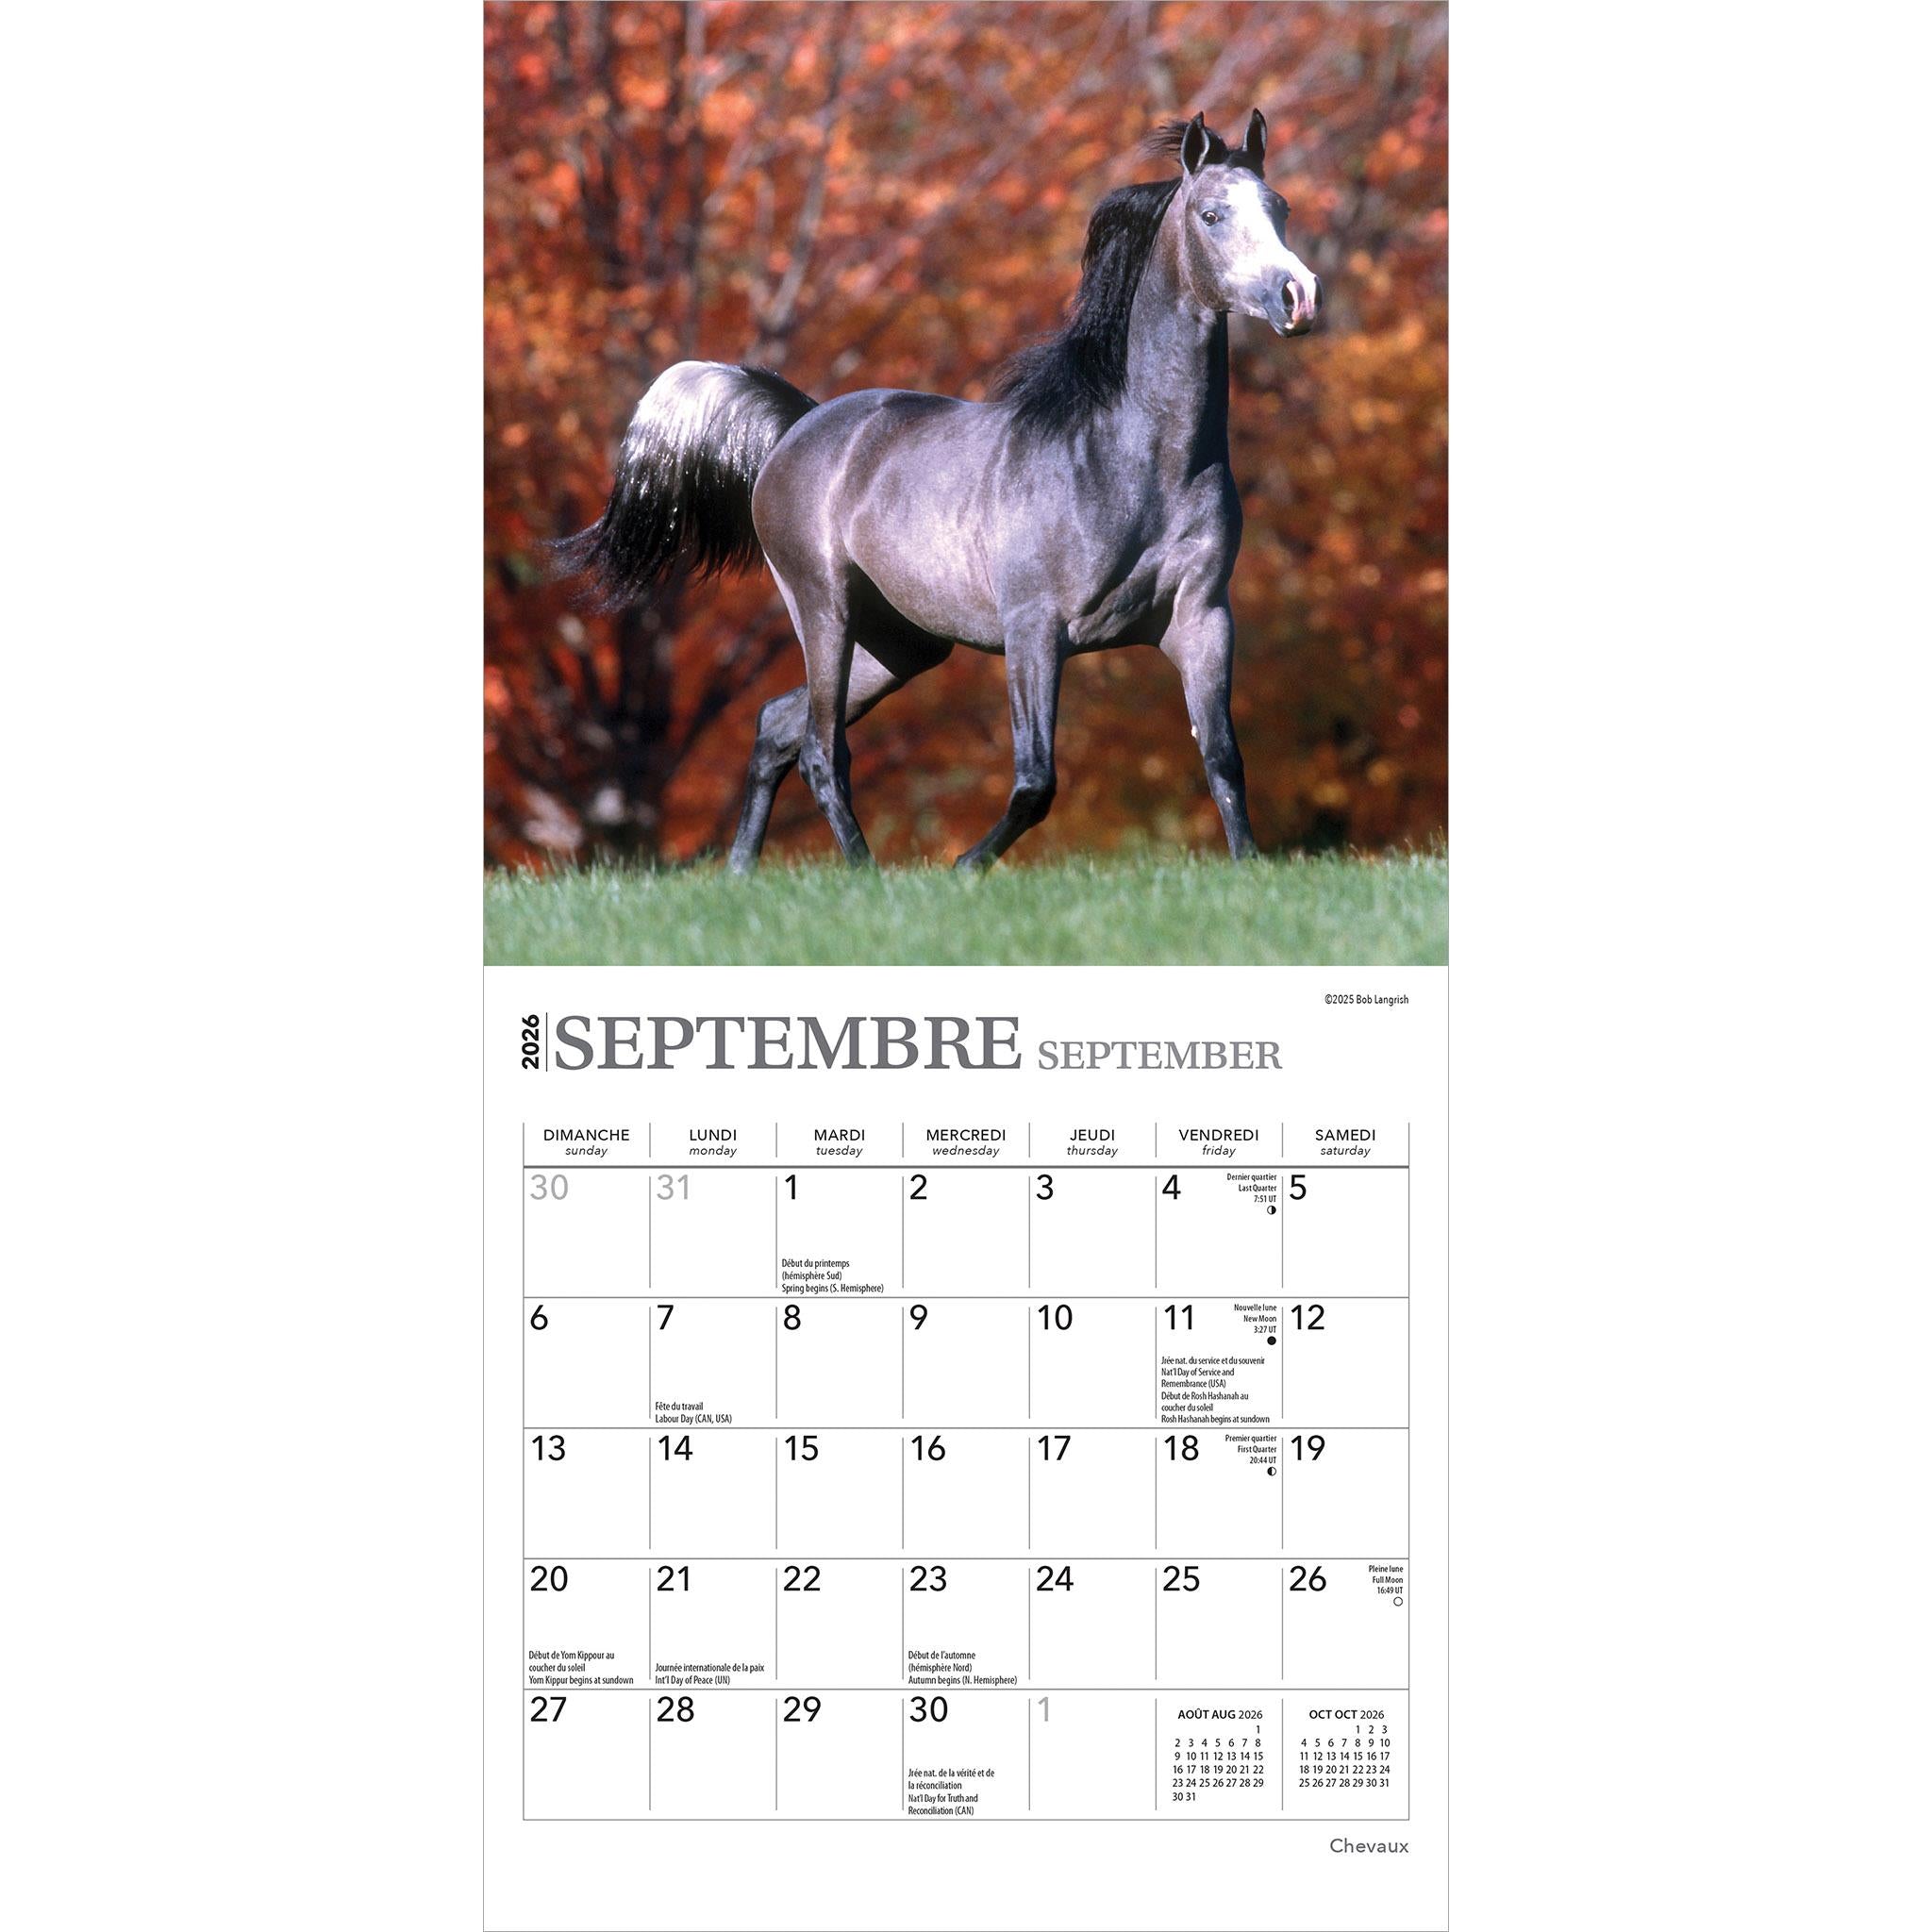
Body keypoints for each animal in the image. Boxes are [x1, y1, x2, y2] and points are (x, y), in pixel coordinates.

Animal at [557, 110, 1322, 871]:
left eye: (1281, 208)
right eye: (1212, 214)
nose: (1299, 297)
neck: (1136, 461)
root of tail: (798, 426)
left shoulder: (1202, 619)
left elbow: (1222, 758)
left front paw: (1249, 868)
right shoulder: (1034, 629)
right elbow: (1035, 781)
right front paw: (964, 868)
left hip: (902, 644)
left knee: (777, 726)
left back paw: (742, 870)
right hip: (824, 609)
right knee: (820, 750)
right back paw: (864, 873)